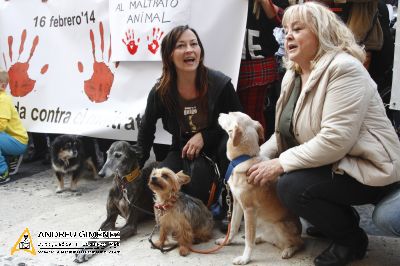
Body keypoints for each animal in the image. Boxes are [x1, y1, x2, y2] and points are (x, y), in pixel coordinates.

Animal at [217, 111, 302, 264]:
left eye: (230, 114)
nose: (220, 113)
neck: (243, 159)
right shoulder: (237, 203)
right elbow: (233, 226)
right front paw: (227, 241)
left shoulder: (249, 210)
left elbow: (249, 241)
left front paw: (245, 258)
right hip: (262, 224)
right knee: (263, 237)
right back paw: (259, 238)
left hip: (280, 226)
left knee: (299, 243)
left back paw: (288, 250)